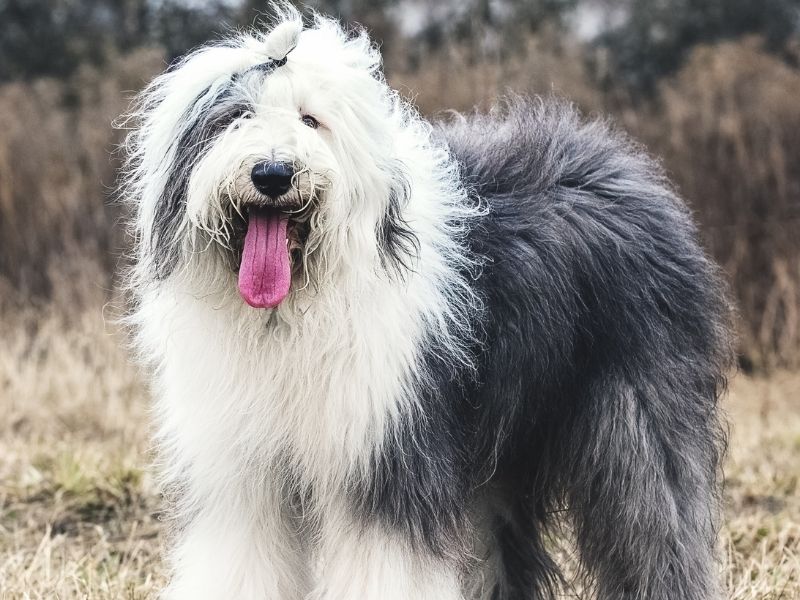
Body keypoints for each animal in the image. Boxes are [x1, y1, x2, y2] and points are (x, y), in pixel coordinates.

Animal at [120, 5, 736, 600]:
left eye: (310, 120)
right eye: (236, 118)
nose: (272, 173)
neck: (290, 310)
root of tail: (627, 166)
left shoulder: (387, 454)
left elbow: (383, 564)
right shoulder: (243, 473)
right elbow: (242, 558)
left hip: (636, 413)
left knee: (655, 520)